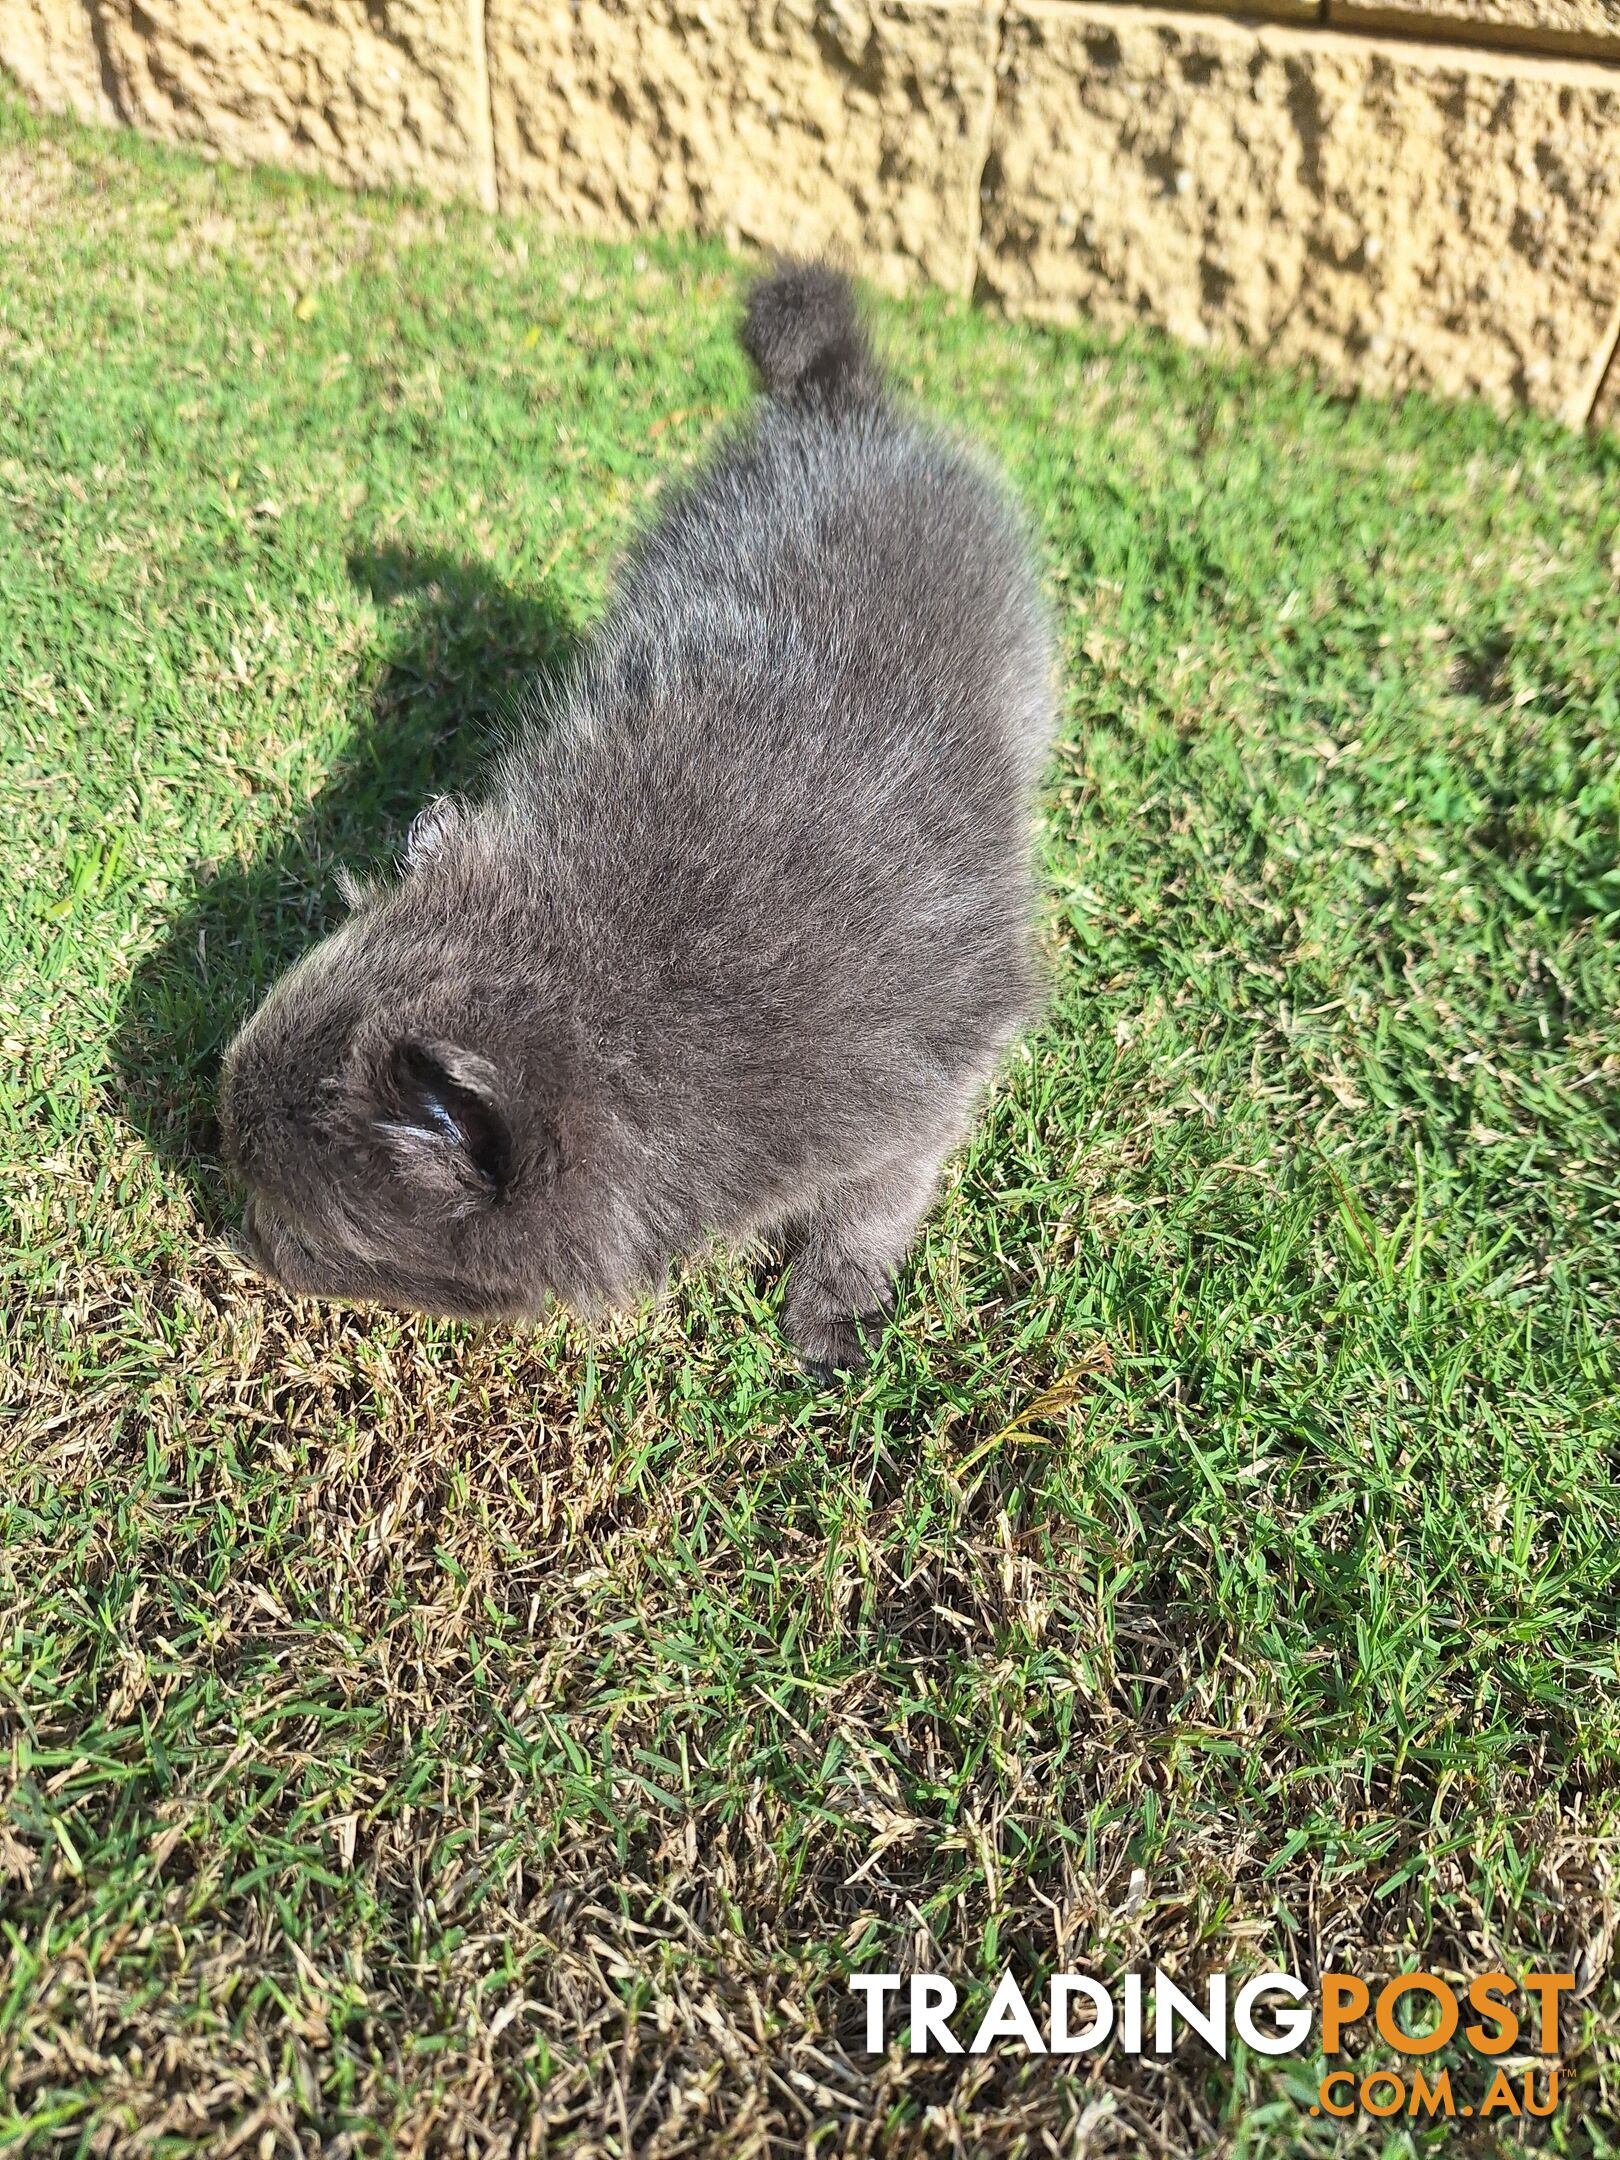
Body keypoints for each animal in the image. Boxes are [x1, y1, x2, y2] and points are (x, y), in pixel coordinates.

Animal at [222, 265, 1058, 1382]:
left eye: (303, 1232)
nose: (241, 1241)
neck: (635, 976)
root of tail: (838, 405)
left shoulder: (925, 1079)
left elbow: (875, 1204)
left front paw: (834, 1308)